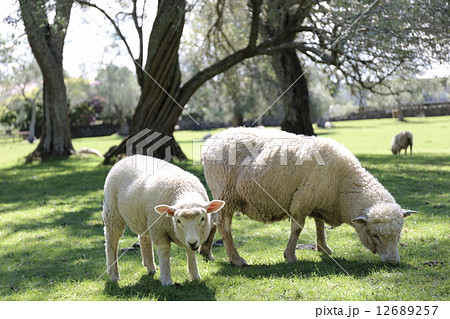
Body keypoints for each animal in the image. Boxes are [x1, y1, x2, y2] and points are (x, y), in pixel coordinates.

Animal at [102, 154, 225, 284]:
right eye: (178, 221)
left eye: (202, 218)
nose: (192, 242)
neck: (185, 191)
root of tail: (128, 157)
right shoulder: (159, 230)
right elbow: (164, 251)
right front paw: (166, 280)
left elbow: (191, 253)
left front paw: (195, 276)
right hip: (113, 213)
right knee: (111, 243)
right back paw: (114, 275)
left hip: (144, 218)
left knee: (144, 239)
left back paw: (150, 267)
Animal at [200, 127, 418, 268]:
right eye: (375, 235)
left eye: (399, 235)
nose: (393, 263)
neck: (343, 186)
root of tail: (210, 143)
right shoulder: (301, 202)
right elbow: (297, 229)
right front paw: (290, 256)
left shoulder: (317, 201)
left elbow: (319, 225)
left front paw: (324, 248)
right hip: (226, 192)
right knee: (223, 226)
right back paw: (236, 259)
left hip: (222, 196)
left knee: (213, 220)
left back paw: (206, 252)